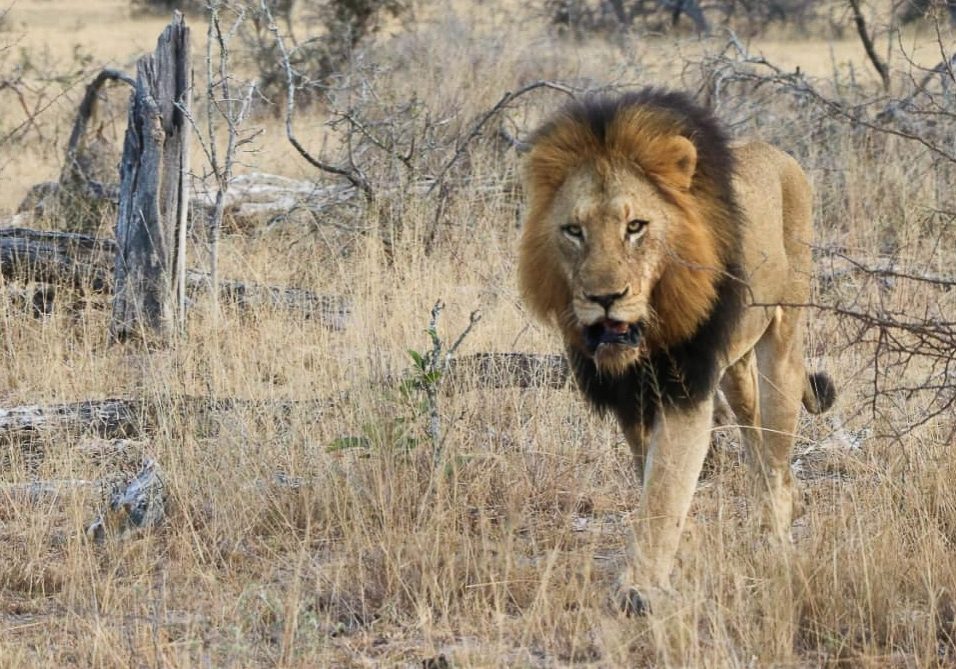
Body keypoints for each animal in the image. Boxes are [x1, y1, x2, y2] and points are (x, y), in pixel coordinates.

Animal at [517, 89, 836, 615]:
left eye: (635, 227)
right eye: (573, 231)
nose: (605, 296)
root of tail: (779, 153)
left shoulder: (685, 391)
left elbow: (664, 491)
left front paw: (639, 590)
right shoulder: (631, 400)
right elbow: (650, 480)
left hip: (783, 347)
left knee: (774, 451)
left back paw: (776, 538)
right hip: (735, 369)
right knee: (757, 443)